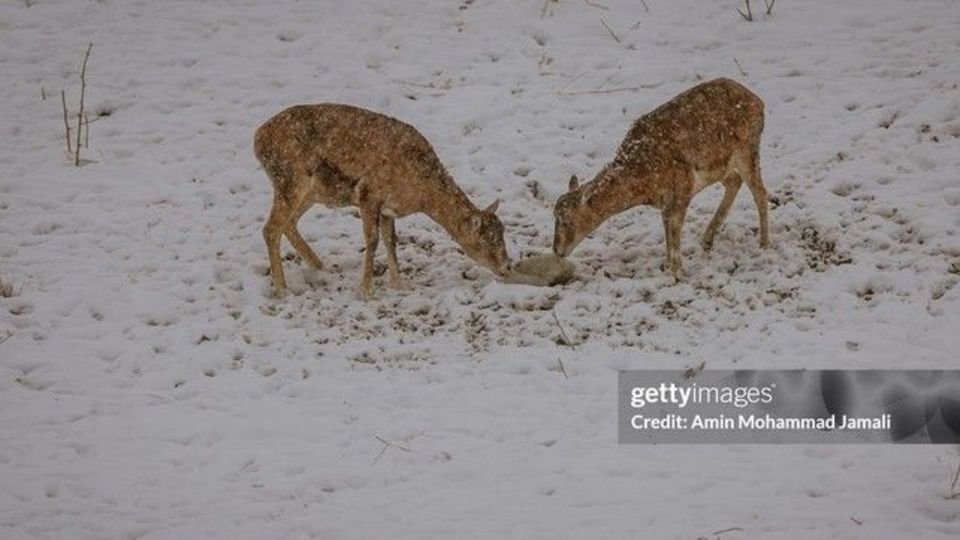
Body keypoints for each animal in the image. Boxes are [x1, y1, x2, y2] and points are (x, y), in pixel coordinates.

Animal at [253, 103, 510, 298]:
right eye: (488, 240)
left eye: (502, 232)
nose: (507, 265)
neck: (420, 195)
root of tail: (257, 139)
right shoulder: (368, 195)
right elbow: (373, 239)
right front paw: (367, 291)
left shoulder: (388, 209)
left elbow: (391, 240)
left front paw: (399, 284)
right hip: (290, 180)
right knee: (271, 228)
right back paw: (282, 289)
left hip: (310, 191)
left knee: (289, 222)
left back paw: (321, 267)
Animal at [552, 78, 768, 276]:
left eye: (567, 220)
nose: (556, 250)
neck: (644, 182)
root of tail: (759, 101)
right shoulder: (665, 201)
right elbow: (667, 232)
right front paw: (667, 267)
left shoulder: (683, 188)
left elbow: (675, 229)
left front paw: (676, 272)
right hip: (719, 167)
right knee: (735, 181)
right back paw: (707, 240)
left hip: (747, 150)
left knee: (759, 192)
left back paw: (764, 244)